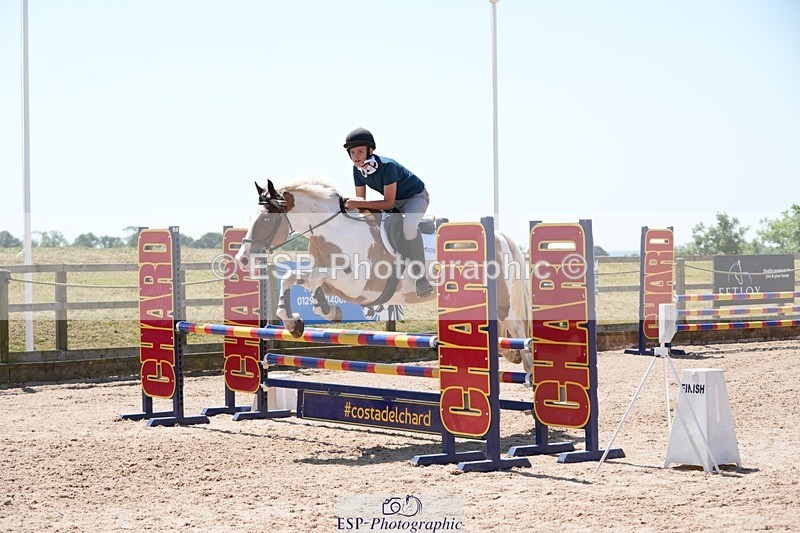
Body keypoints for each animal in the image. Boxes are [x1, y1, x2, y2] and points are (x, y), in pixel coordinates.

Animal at [234, 177, 532, 372]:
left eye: (266, 219)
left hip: (501, 300)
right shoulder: (336, 282)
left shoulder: (357, 284)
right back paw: (512, 357)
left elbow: (313, 278)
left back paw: (529, 374)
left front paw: (314, 314)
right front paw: (303, 320)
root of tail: (499, 235)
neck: (333, 230)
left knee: (518, 327)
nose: (243, 259)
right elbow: (297, 279)